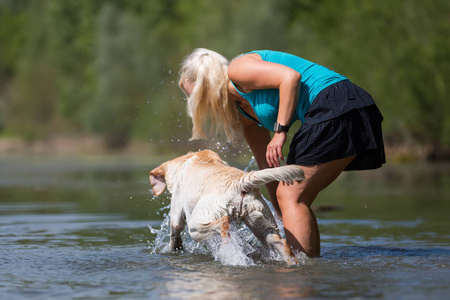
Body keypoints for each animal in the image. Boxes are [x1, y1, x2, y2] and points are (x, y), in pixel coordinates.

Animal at [149, 151, 304, 264]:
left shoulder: (177, 204)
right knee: (281, 243)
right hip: (260, 221)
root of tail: (238, 182)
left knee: (223, 223)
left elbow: (175, 230)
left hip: (195, 225)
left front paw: (174, 249)